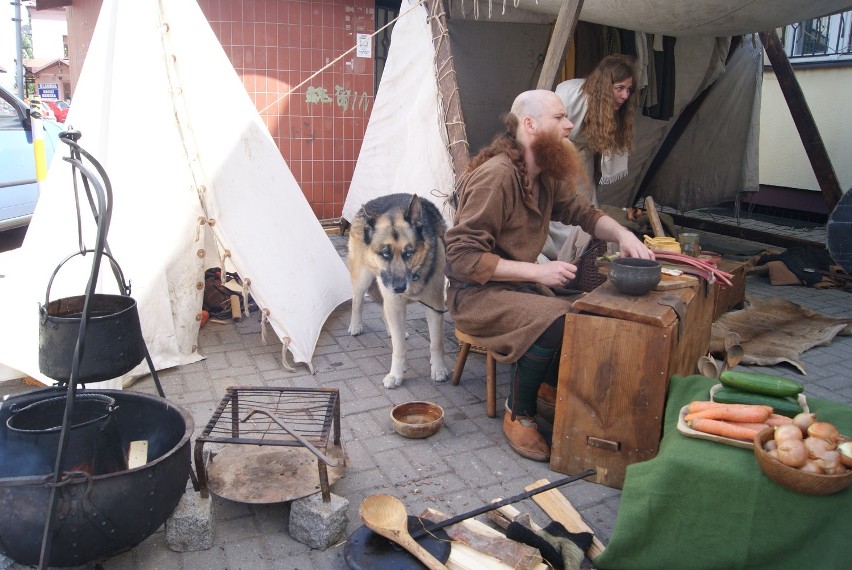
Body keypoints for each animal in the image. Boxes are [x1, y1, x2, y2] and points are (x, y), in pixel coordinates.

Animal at [348, 194, 452, 386]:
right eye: (385, 254)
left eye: (408, 253)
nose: (400, 288)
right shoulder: (395, 303)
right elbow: (399, 348)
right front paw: (396, 374)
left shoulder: (435, 306)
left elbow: (436, 343)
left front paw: (439, 369)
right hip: (363, 278)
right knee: (357, 301)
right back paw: (356, 325)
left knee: (383, 310)